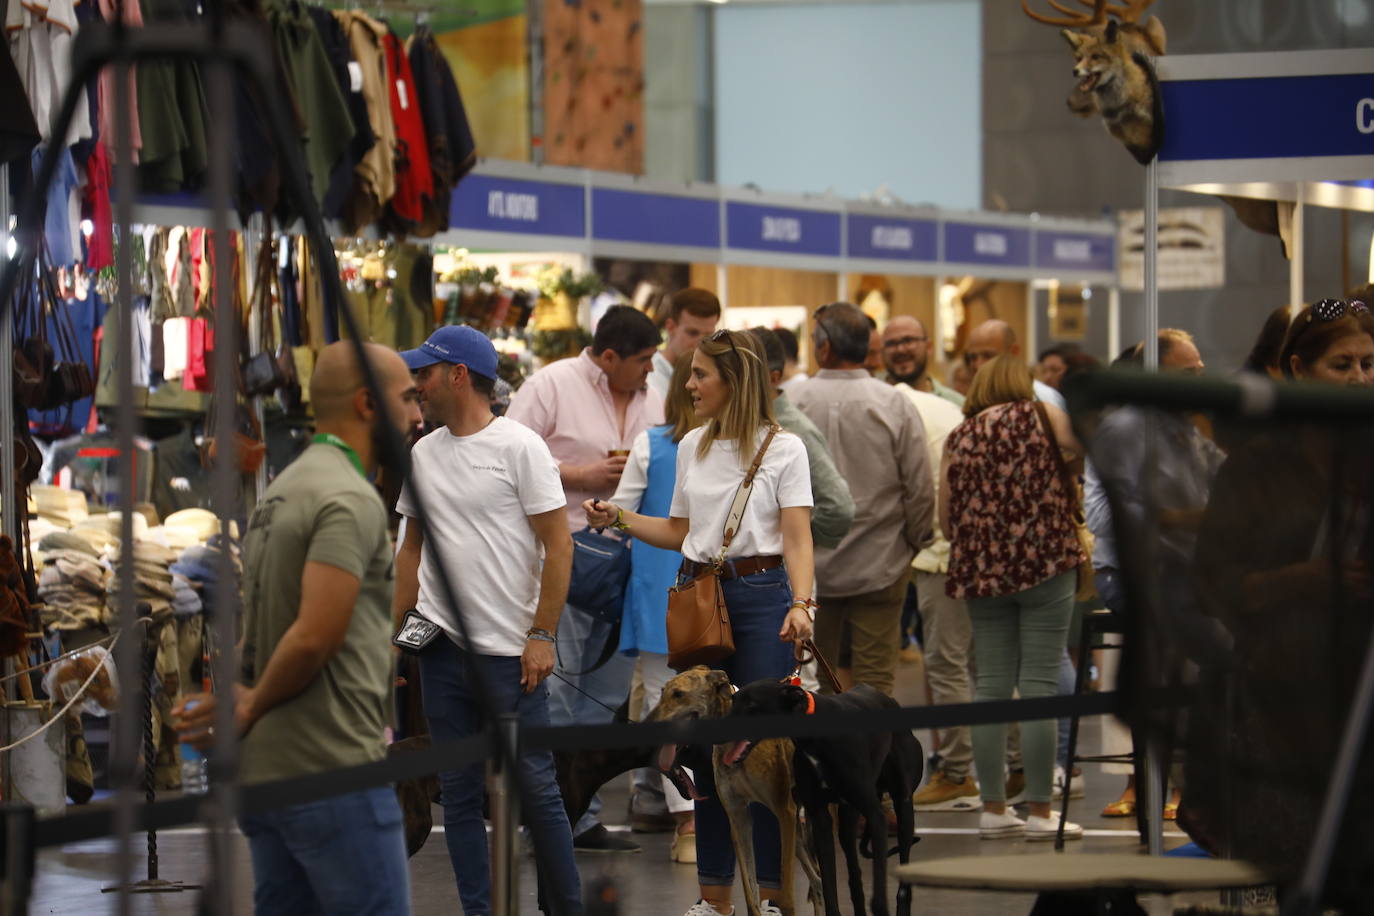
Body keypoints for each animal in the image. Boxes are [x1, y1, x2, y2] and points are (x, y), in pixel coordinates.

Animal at [648, 667, 818, 916]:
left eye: (679, 694)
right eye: (662, 692)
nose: (648, 726)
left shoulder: (783, 812)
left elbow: (786, 894)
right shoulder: (738, 818)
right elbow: (750, 893)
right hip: (798, 831)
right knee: (817, 881)